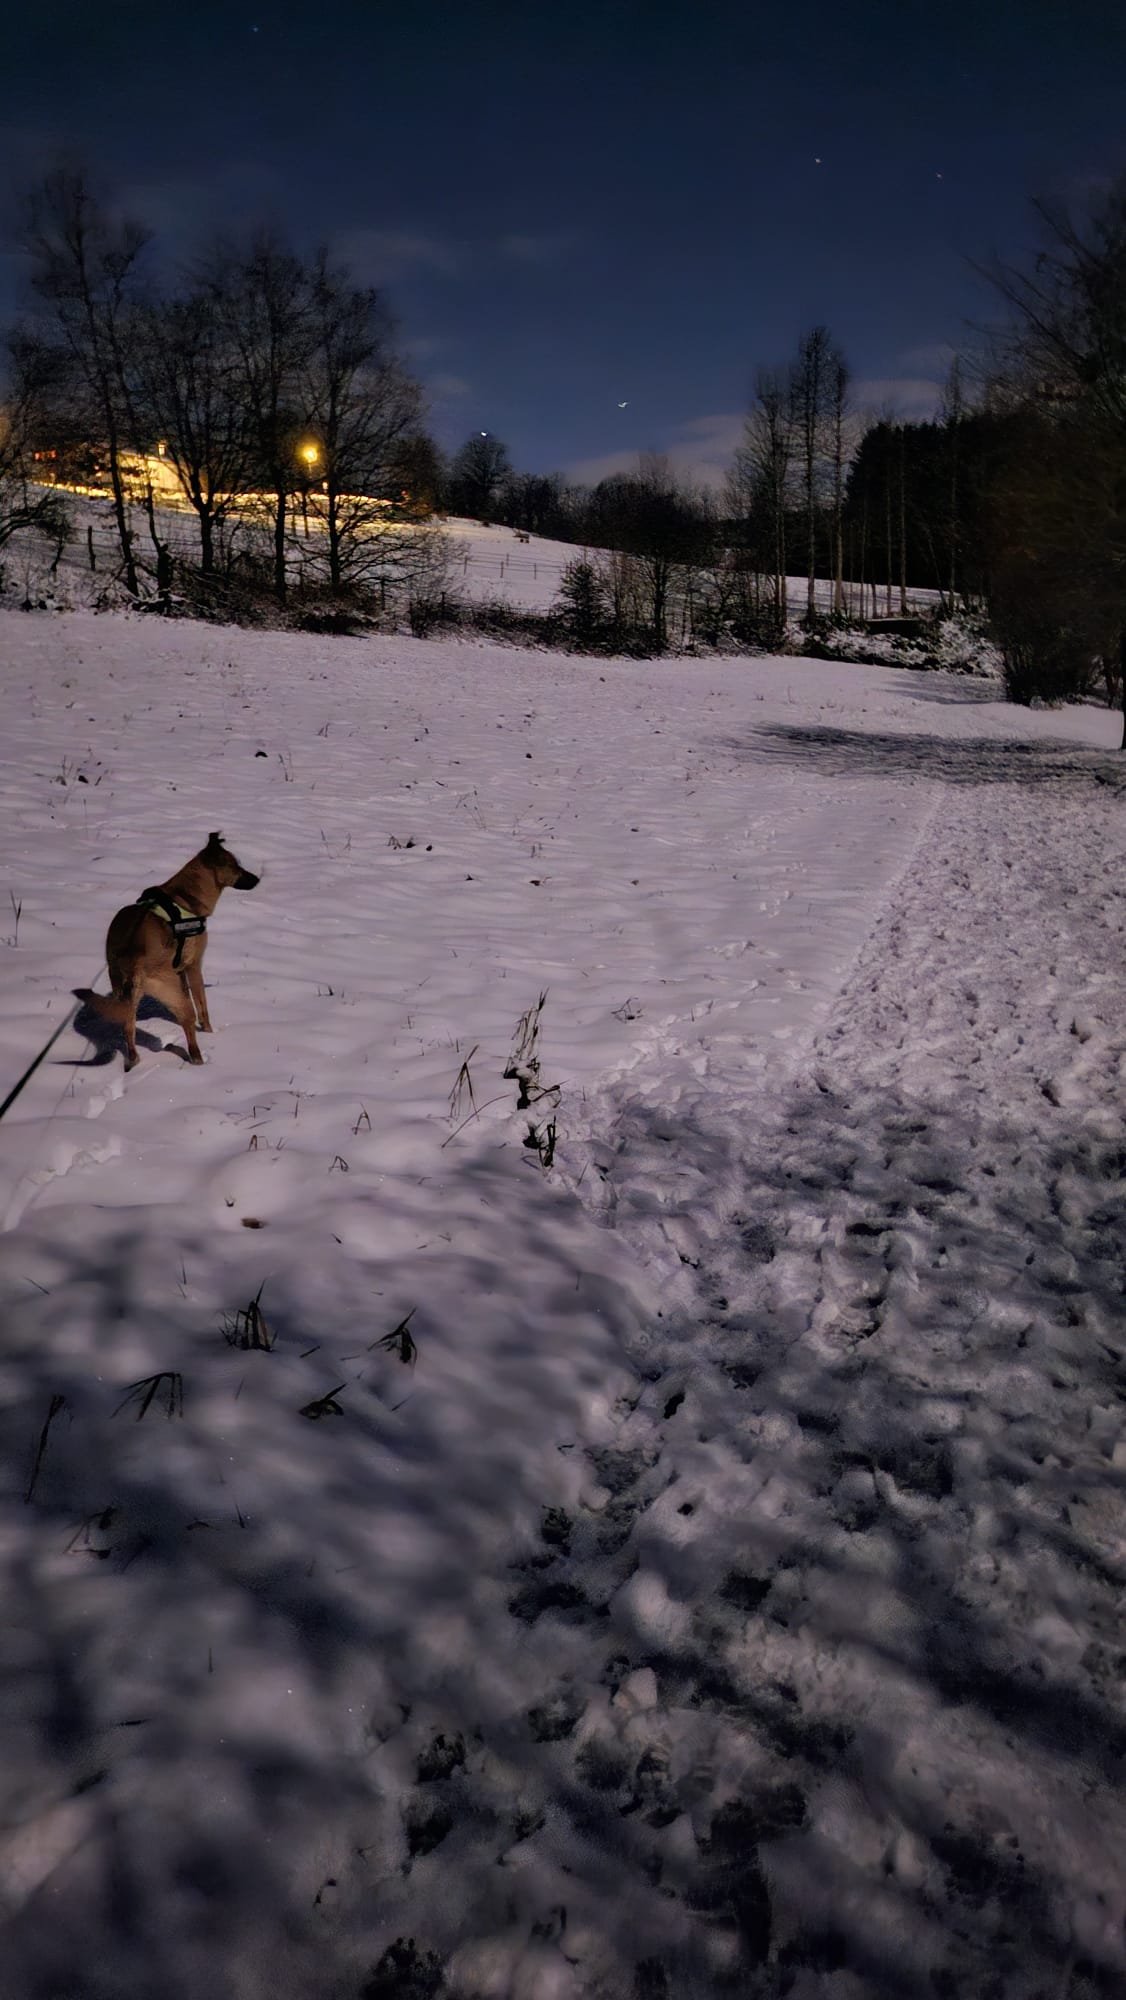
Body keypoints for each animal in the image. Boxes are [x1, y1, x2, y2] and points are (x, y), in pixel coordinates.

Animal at [76, 832, 259, 1070]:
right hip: (172, 994)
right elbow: (203, 1007)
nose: (258, 879)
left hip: (126, 998)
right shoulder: (193, 966)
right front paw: (210, 1032)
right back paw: (198, 1059)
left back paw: (133, 1061)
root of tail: (134, 960)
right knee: (188, 1026)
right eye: (236, 866)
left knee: (128, 1028)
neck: (185, 895)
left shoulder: (180, 970)